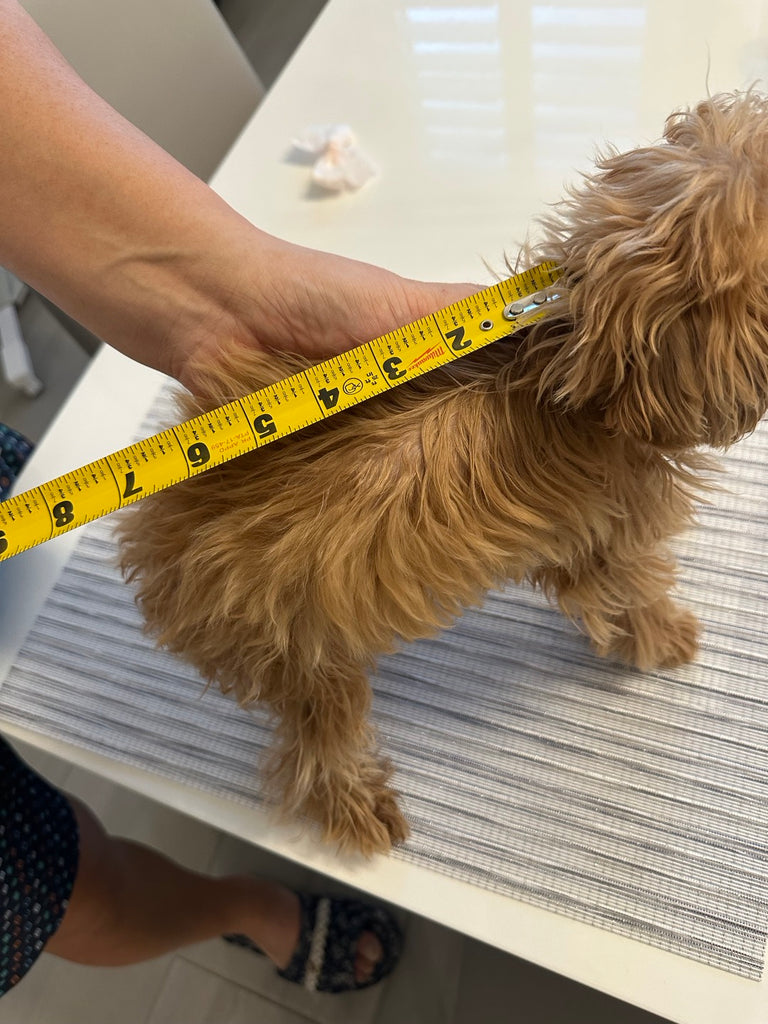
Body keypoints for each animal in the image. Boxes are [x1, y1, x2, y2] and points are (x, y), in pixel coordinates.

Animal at [117, 92, 768, 856]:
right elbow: (631, 597)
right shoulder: (608, 540)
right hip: (304, 663)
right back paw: (361, 808)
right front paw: (666, 639)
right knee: (314, 753)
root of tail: (157, 547)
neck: (575, 367)